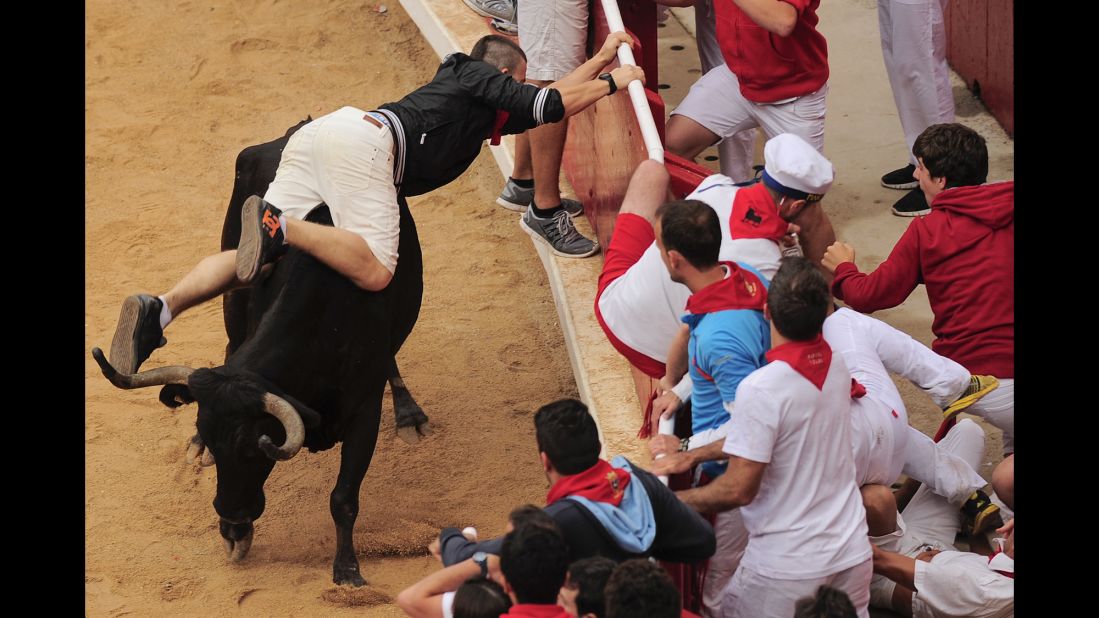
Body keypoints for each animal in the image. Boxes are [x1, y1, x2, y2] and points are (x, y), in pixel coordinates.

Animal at [91, 117, 433, 585]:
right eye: (216, 443)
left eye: (254, 448)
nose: (231, 519)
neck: (324, 320)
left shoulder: (364, 412)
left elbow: (343, 497)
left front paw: (347, 570)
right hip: (233, 294)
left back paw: (409, 413)